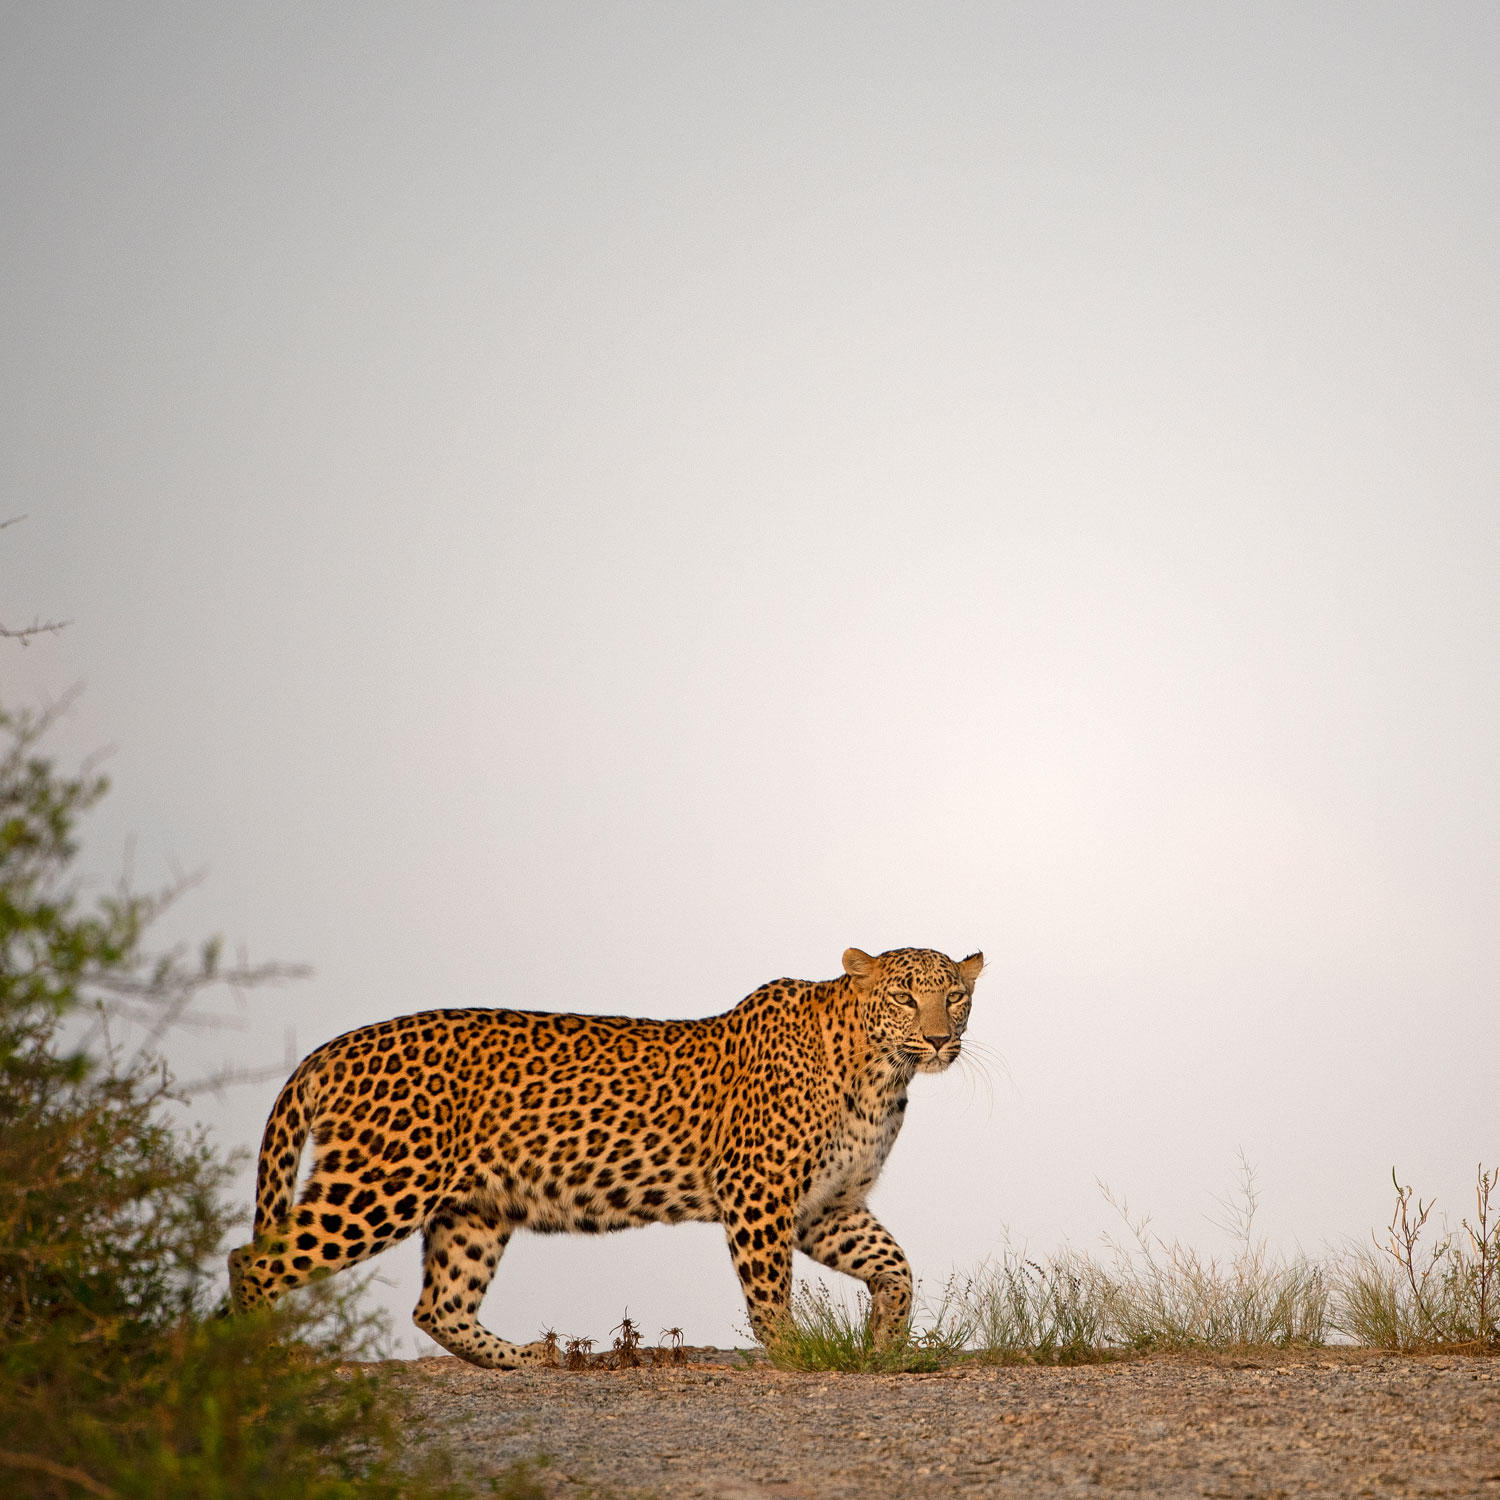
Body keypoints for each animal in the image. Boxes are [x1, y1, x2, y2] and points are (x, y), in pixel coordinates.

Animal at [225, 948, 984, 1374]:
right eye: (904, 996)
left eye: (957, 995)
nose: (939, 1039)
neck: (882, 1075)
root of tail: (332, 1048)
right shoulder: (760, 1197)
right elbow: (769, 1293)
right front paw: (800, 1355)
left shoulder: (827, 1206)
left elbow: (895, 1266)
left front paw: (885, 1341)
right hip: (381, 1185)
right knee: (252, 1259)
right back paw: (260, 1359)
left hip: (474, 1208)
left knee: (437, 1304)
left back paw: (526, 1360)